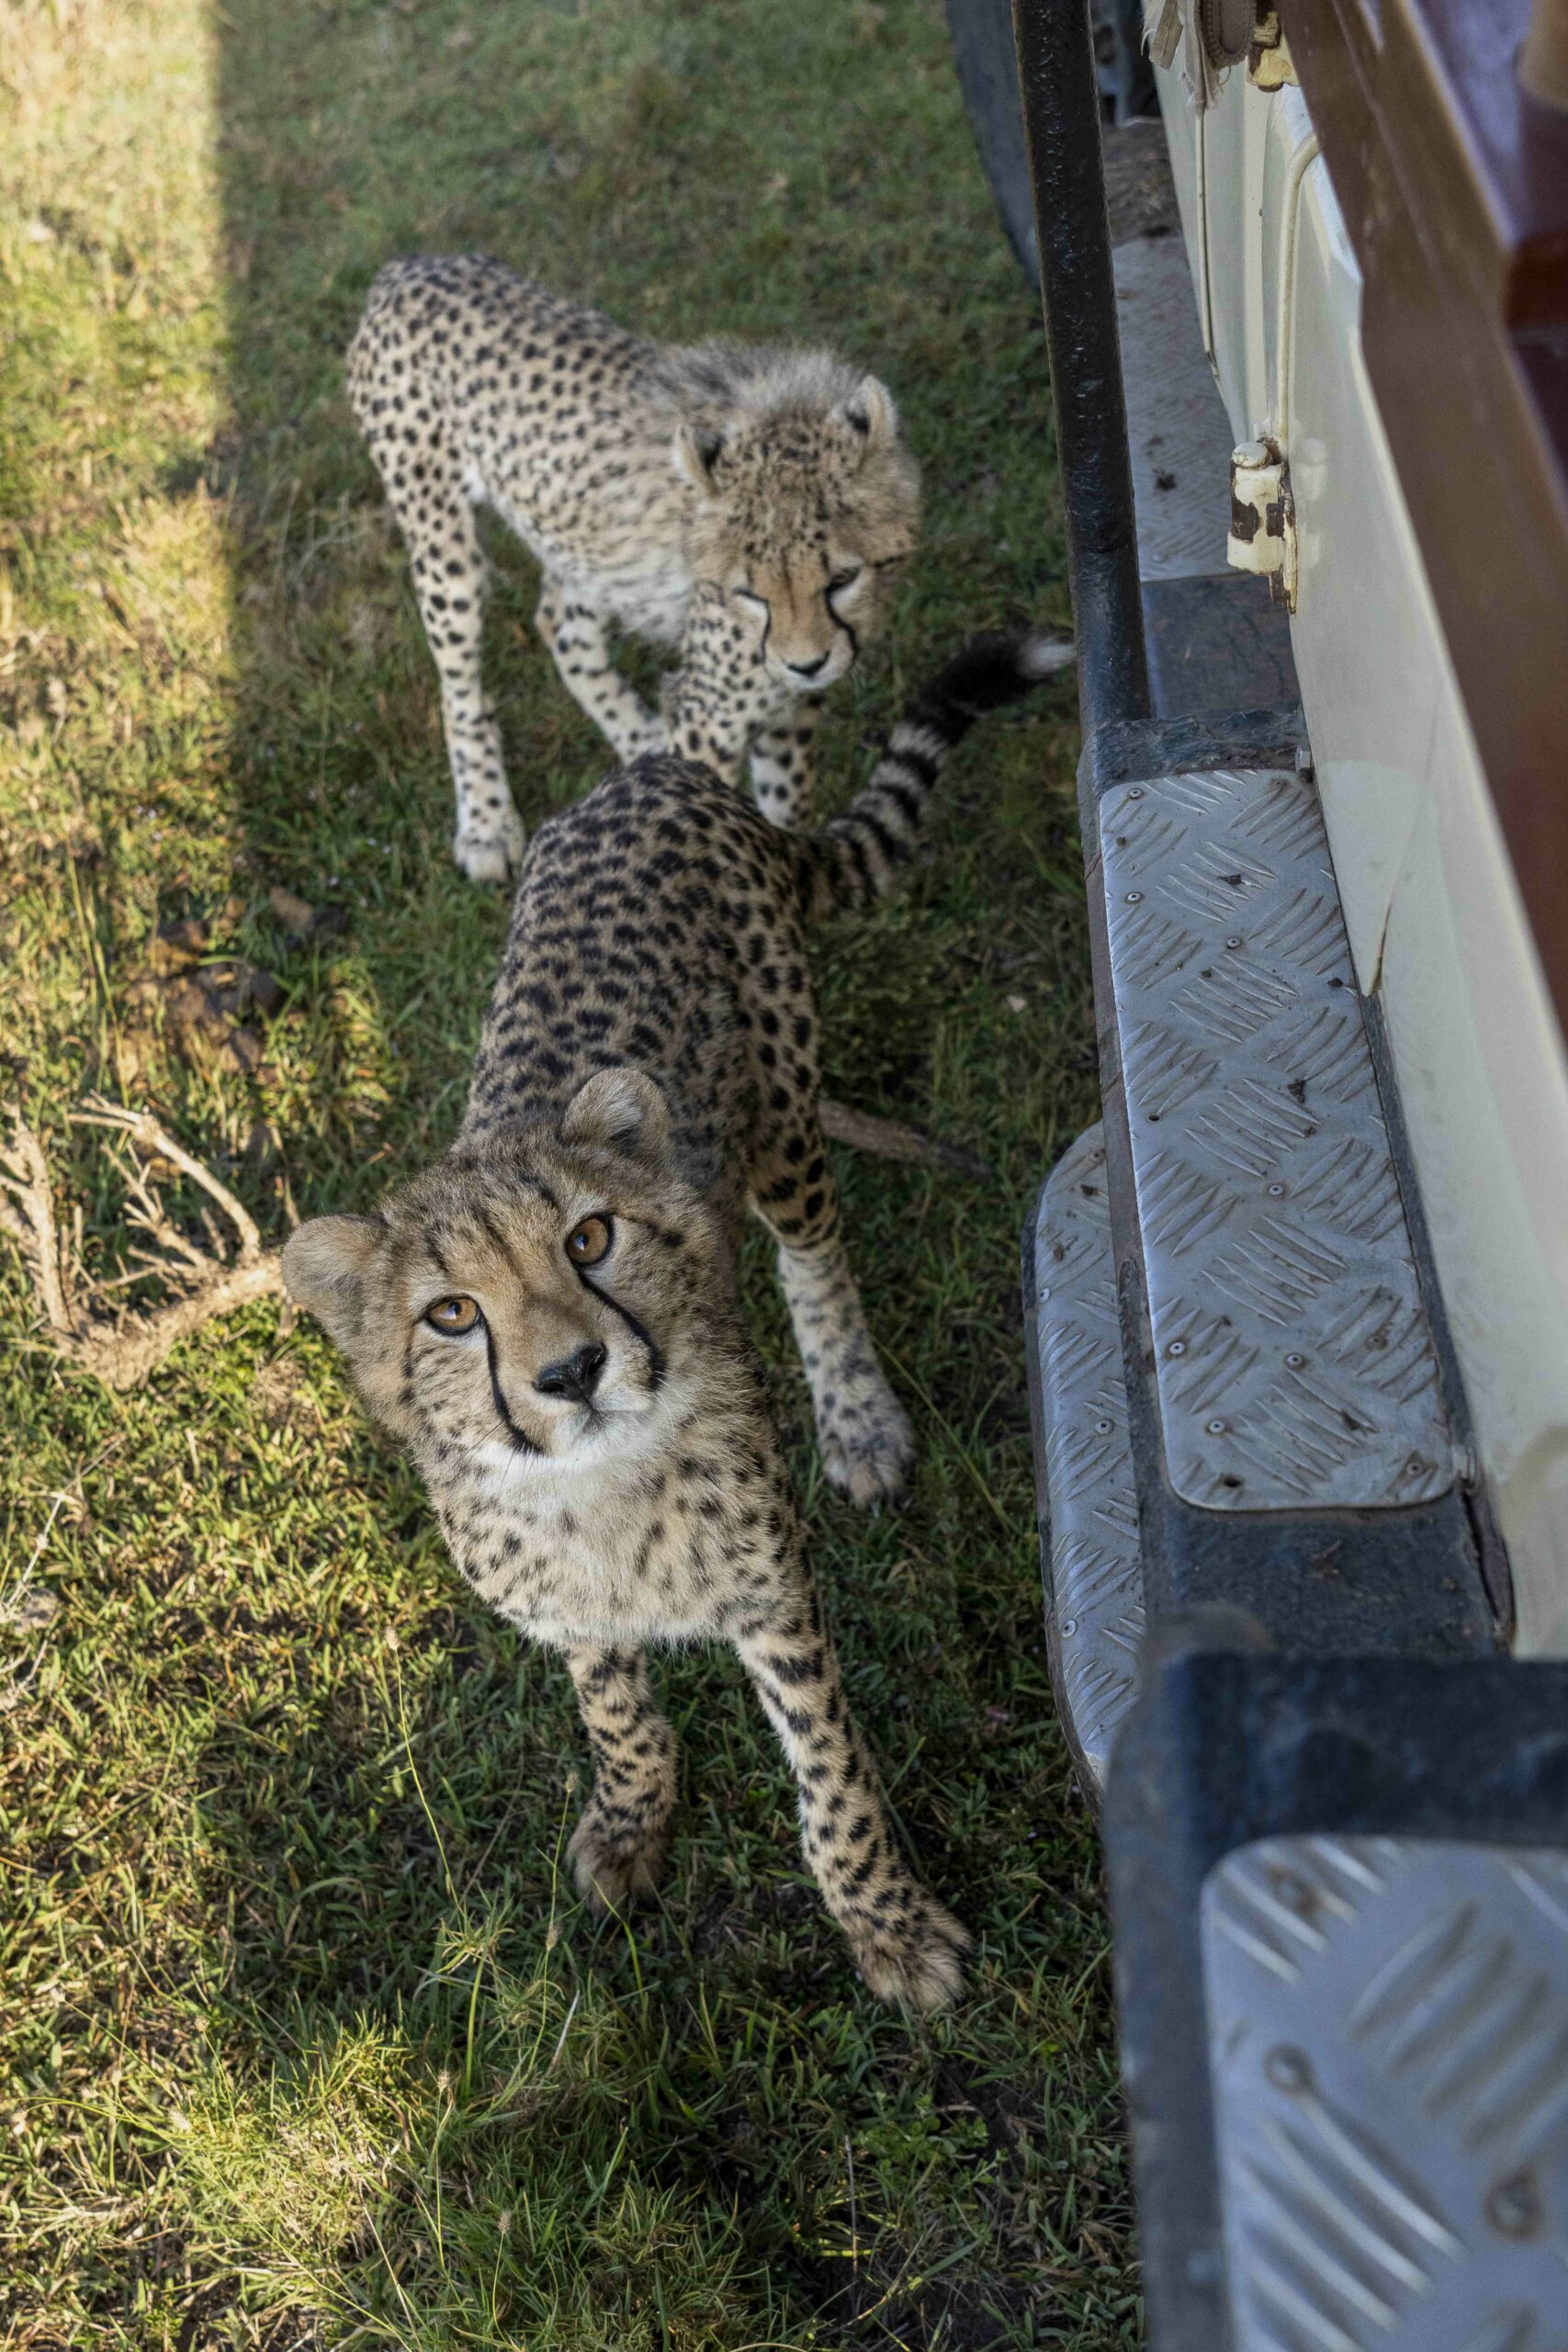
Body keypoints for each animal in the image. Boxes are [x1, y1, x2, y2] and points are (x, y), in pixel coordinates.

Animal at [282, 620, 1072, 2004]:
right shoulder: (570, 1613)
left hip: (784, 1112)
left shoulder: (774, 1593)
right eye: (450, 1315)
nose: (571, 1372)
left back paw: (857, 1417)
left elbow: (831, 1775)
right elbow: (615, 1711)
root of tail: (654, 770)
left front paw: (887, 1924)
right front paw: (630, 1819)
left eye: (589, 1240)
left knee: (812, 1252)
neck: (592, 1492)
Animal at [350, 254, 926, 884]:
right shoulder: (712, 712)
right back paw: (486, 822)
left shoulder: (785, 706)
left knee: (560, 624)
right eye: (751, 593)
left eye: (842, 579)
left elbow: (785, 805)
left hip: (583, 541)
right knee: (461, 689)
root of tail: (411, 266)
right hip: (441, 540)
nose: (807, 664)